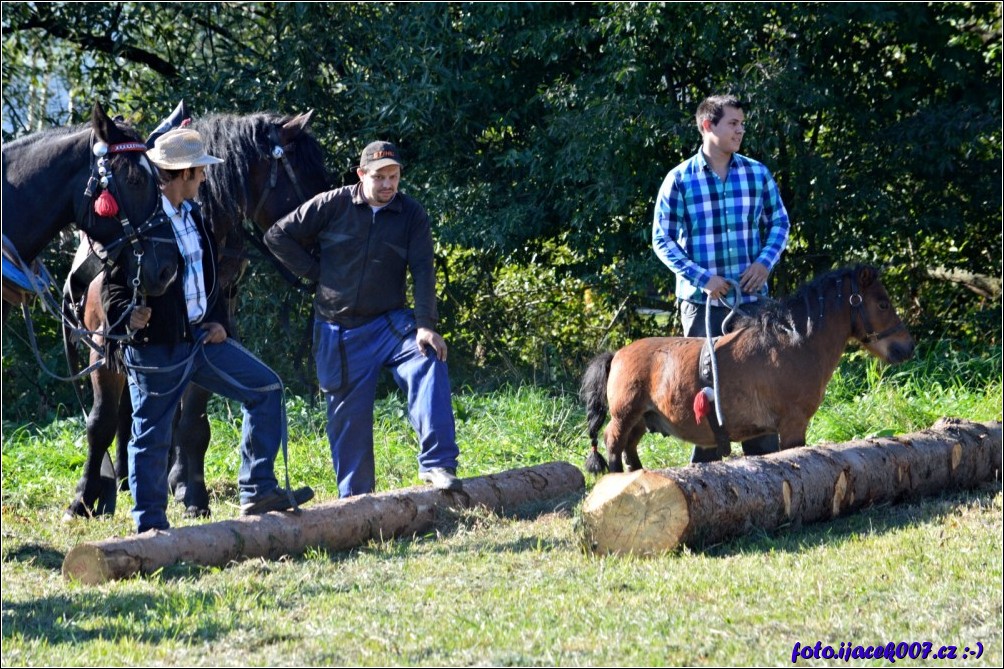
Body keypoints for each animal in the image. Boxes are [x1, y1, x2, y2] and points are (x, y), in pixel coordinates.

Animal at [63, 110, 329, 514]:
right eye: (311, 176)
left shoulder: (210, 339)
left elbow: (194, 424)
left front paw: (193, 492)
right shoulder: (104, 347)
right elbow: (100, 422)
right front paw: (85, 496)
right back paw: (123, 476)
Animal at [582, 263, 919, 472]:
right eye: (883, 304)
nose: (907, 346)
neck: (793, 344)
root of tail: (617, 355)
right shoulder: (793, 425)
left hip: (642, 420)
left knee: (629, 449)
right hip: (624, 416)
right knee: (613, 445)